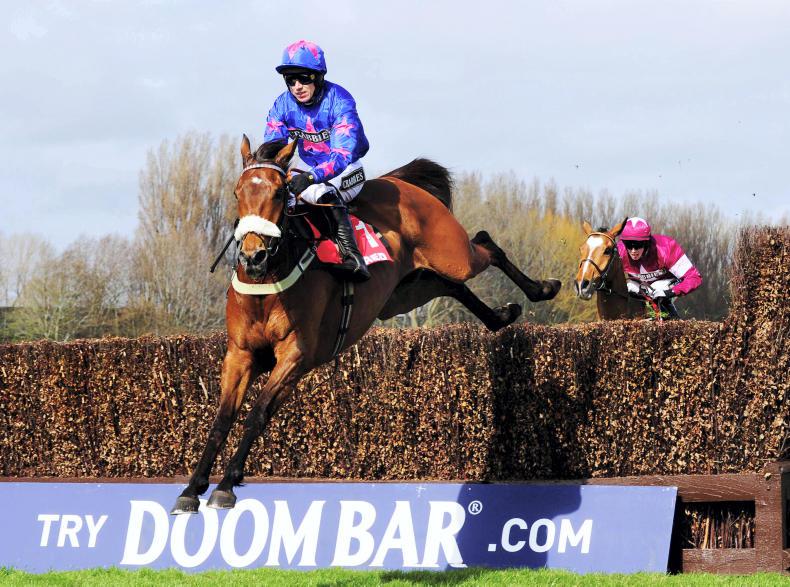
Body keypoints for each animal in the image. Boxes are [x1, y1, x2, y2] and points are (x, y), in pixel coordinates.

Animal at [171, 136, 562, 513]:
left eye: (280, 192)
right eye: (238, 192)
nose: (254, 256)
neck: (268, 284)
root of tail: (399, 181)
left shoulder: (295, 356)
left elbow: (257, 413)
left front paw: (225, 485)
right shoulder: (240, 355)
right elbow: (222, 419)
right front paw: (192, 488)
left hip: (454, 255)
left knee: (484, 244)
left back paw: (543, 288)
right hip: (408, 289)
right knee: (453, 285)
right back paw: (503, 315)